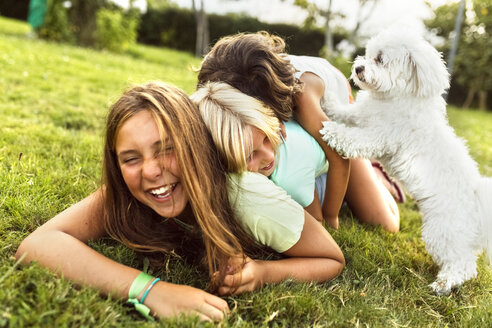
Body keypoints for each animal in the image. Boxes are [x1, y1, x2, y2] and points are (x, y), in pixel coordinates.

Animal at [320, 28, 492, 294]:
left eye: (380, 59)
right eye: (367, 54)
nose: (358, 67)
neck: (393, 98)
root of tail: (477, 201)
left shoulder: (377, 137)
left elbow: (354, 138)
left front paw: (332, 132)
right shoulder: (362, 115)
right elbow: (345, 112)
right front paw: (327, 100)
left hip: (441, 232)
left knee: (463, 265)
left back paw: (442, 285)